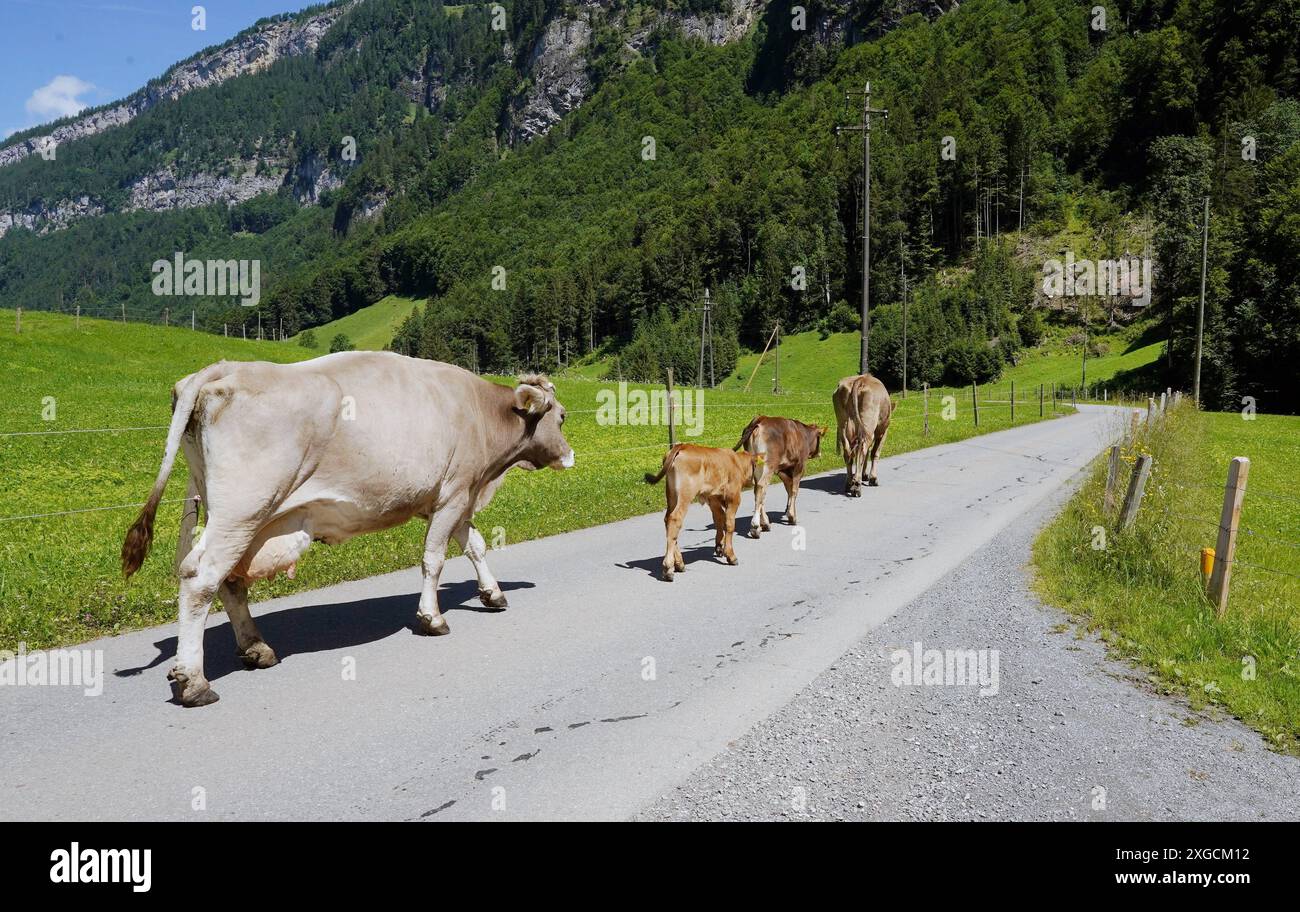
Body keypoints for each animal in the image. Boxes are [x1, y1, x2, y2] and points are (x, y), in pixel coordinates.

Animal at [121, 352, 574, 707]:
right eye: (562, 417)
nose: (570, 456)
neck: (482, 412)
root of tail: (224, 367)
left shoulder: (457, 499)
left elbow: (476, 546)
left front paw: (492, 594)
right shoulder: (454, 493)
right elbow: (434, 559)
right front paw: (432, 618)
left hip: (225, 508)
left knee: (229, 580)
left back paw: (256, 648)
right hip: (243, 507)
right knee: (201, 577)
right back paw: (194, 682)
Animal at [643, 444, 760, 581]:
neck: (736, 462)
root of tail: (682, 446)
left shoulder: (713, 498)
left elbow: (719, 519)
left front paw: (719, 546)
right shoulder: (734, 498)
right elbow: (729, 525)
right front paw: (730, 556)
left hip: (671, 495)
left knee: (667, 520)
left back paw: (679, 563)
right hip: (685, 495)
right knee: (675, 519)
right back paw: (668, 568)